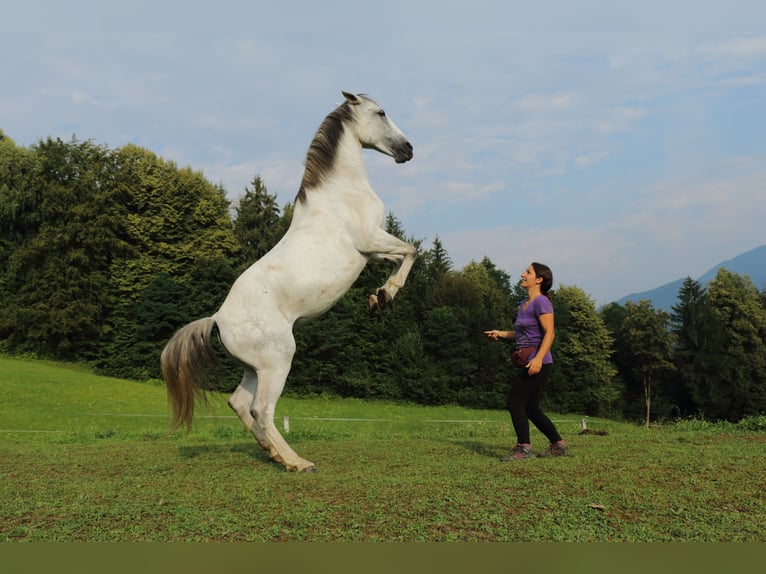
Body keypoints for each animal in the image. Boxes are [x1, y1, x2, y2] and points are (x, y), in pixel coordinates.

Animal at [158, 92, 416, 474]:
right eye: (381, 112)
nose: (407, 150)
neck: (341, 191)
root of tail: (217, 320)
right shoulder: (369, 240)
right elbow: (411, 250)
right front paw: (387, 294)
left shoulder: (371, 253)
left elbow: (401, 258)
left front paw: (378, 298)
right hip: (278, 361)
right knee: (261, 410)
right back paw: (297, 462)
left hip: (255, 368)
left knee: (239, 404)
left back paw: (273, 452)